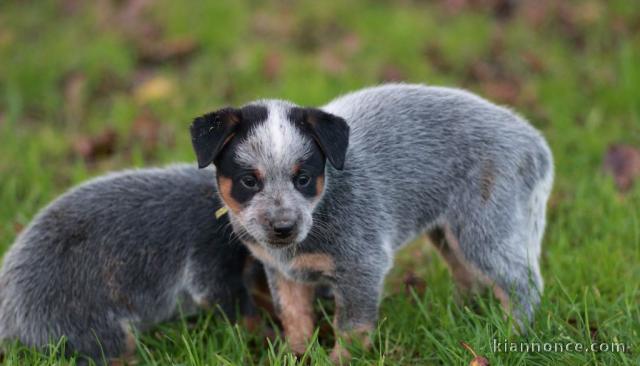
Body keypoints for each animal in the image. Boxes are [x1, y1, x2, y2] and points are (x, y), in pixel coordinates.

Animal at [191, 83, 556, 364]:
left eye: (303, 179)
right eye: (249, 181)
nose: (283, 227)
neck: (321, 210)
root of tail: (535, 142)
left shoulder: (362, 265)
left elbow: (351, 326)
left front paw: (339, 361)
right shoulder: (282, 273)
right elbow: (294, 318)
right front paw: (295, 355)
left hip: (484, 227)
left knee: (522, 281)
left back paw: (511, 334)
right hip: (448, 233)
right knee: (468, 275)